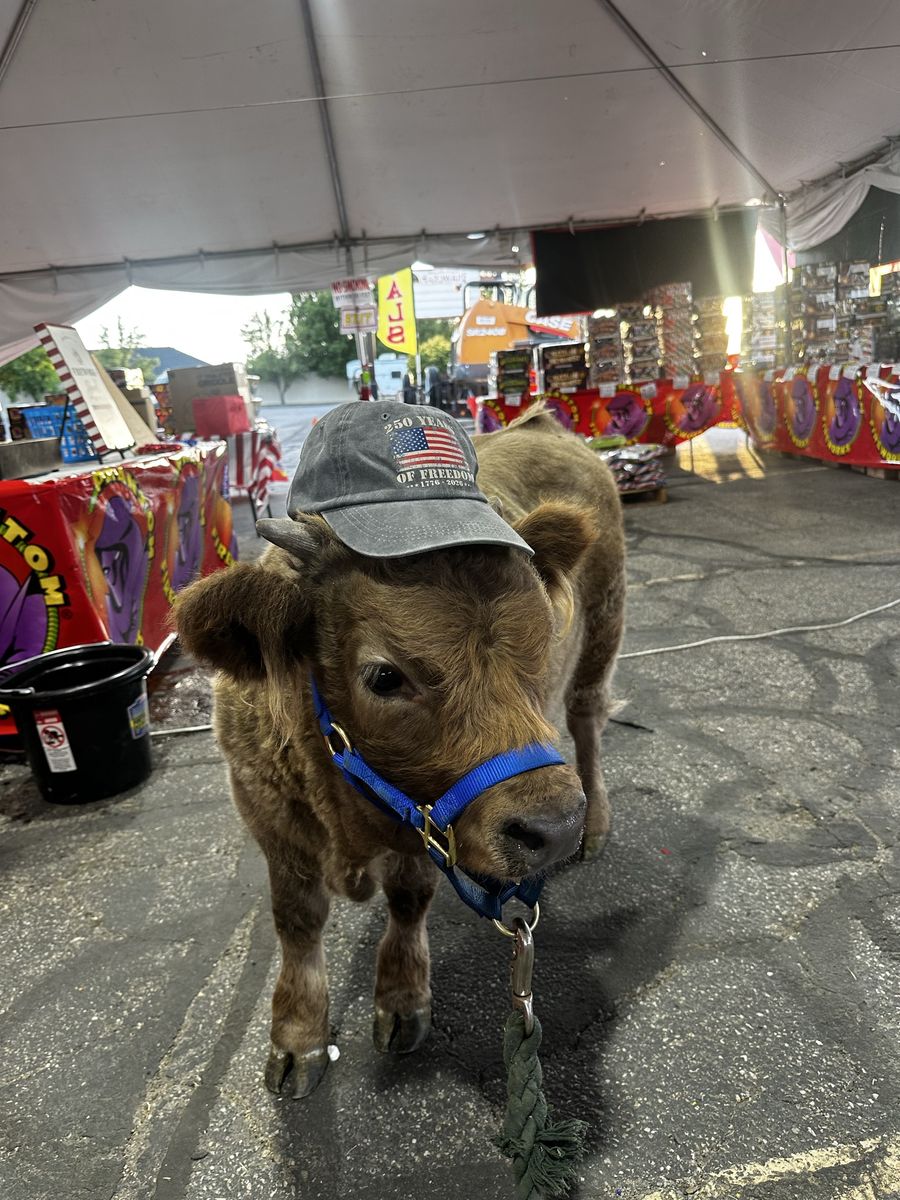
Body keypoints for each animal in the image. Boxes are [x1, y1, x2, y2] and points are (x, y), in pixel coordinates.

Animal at [175, 400, 625, 1099]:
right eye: (384, 676)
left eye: (540, 637)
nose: (552, 827)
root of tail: (544, 427)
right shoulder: (272, 821)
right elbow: (297, 919)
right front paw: (297, 1040)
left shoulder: (423, 827)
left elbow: (409, 899)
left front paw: (403, 1001)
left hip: (602, 634)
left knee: (587, 721)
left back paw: (597, 824)